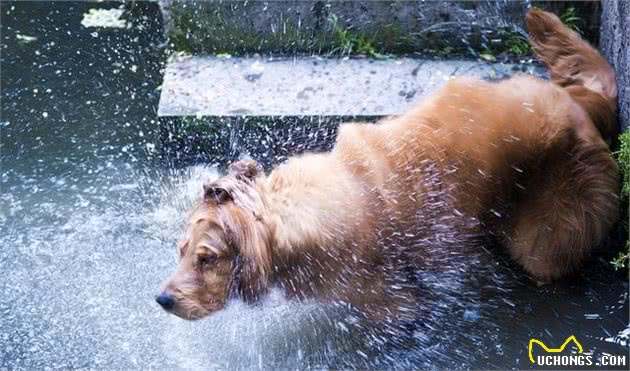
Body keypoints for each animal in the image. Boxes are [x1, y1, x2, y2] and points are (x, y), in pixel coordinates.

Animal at [156, 10, 620, 326]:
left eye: (206, 258)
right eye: (180, 251)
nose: (162, 300)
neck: (291, 216)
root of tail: (583, 103)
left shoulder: (395, 304)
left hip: (547, 235)